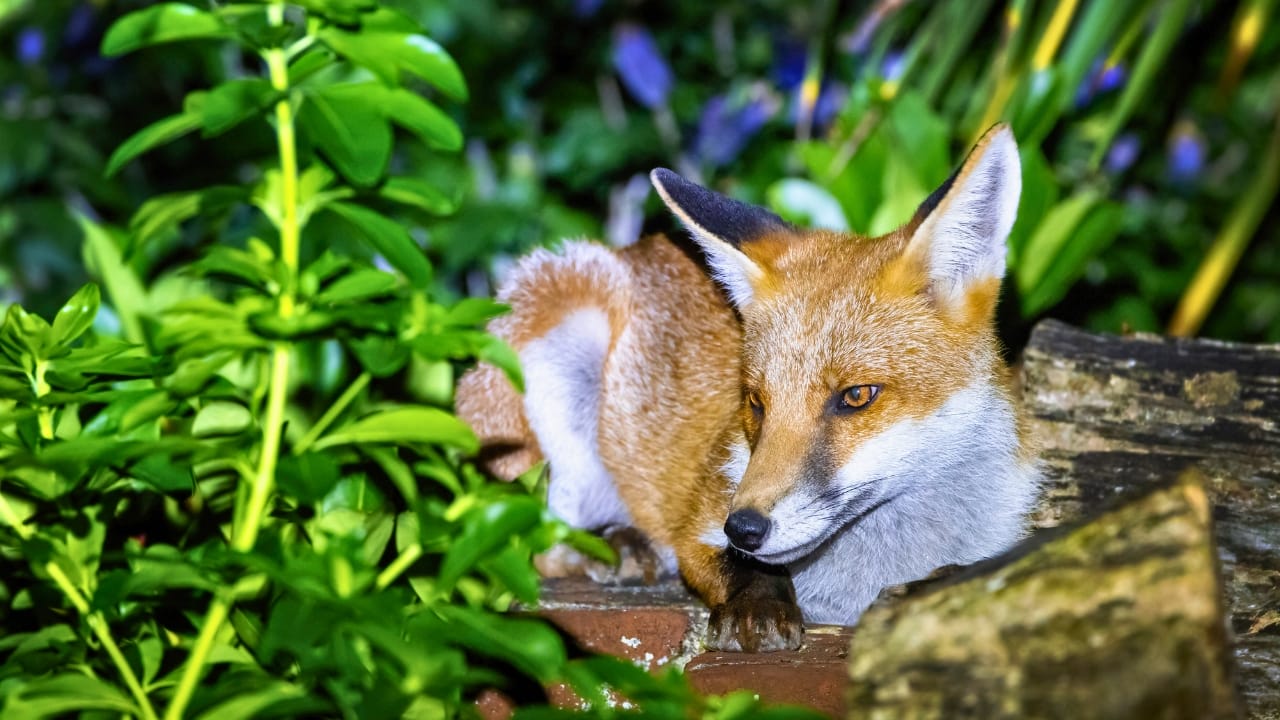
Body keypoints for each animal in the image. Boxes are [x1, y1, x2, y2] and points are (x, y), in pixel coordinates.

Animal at [456, 124, 1041, 652]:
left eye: (856, 396)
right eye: (756, 402)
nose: (744, 529)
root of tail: (633, 249)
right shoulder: (704, 515)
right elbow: (729, 565)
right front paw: (757, 605)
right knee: (533, 542)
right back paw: (617, 547)